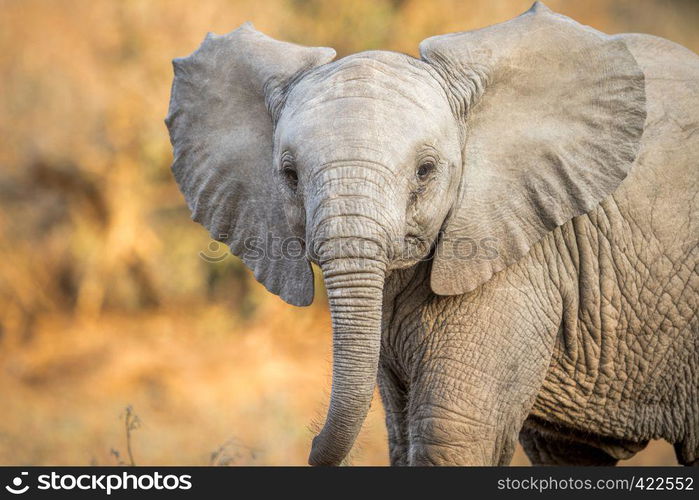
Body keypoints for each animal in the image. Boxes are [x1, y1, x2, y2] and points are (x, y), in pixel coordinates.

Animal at [167, 1, 696, 466]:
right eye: (290, 175)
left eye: (425, 171)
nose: (312, 442)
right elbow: (403, 436)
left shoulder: (523, 252)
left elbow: (451, 436)